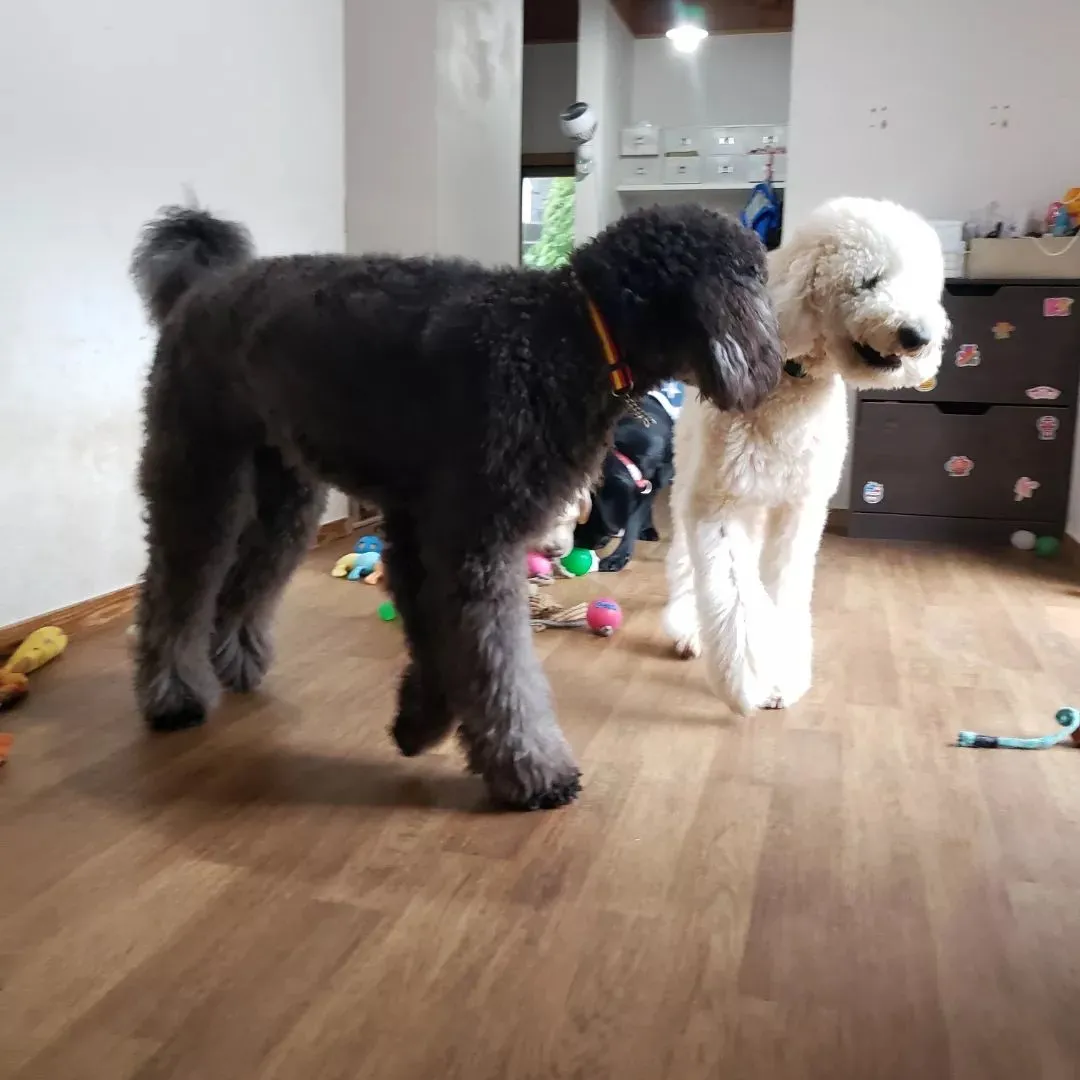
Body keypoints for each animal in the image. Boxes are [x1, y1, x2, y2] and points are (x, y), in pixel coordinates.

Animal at [130, 203, 781, 812]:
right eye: (753, 275)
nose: (772, 369)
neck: (570, 333)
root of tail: (201, 286)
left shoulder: (423, 536)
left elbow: (441, 648)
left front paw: (419, 723)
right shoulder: (475, 541)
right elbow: (498, 666)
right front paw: (533, 772)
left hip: (287, 496)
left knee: (245, 584)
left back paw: (236, 661)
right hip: (201, 475)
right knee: (172, 593)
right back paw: (173, 695)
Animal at [660, 198, 950, 712]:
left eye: (922, 287)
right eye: (869, 280)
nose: (918, 336)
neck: (791, 383)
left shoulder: (798, 508)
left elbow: (783, 588)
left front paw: (780, 675)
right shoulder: (717, 502)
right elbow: (732, 589)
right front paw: (746, 680)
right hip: (691, 483)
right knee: (685, 565)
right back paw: (687, 628)